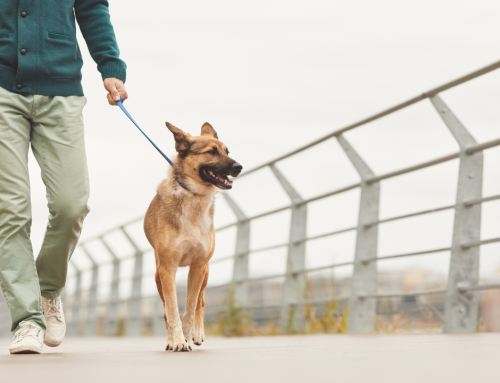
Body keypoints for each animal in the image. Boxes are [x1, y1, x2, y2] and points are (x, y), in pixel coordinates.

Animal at [144, 121, 243, 352]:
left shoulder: (198, 267)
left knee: (201, 301)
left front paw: (187, 337)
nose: (239, 167)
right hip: (158, 276)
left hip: (204, 273)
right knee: (166, 309)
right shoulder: (167, 269)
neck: (194, 196)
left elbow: (189, 309)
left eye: (227, 151)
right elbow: (171, 310)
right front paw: (177, 341)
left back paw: (197, 334)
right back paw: (172, 339)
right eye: (211, 152)